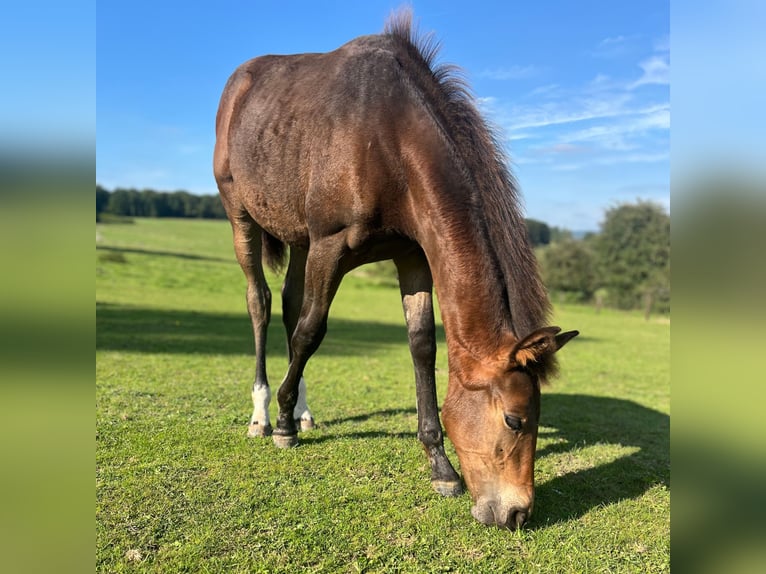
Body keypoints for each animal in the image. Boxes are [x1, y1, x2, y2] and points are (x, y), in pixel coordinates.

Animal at [213, 10, 580, 532]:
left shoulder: (413, 257)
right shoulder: (330, 246)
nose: (516, 514)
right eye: (514, 419)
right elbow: (311, 331)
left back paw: (301, 407)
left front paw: (440, 467)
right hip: (240, 215)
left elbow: (421, 346)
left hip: (299, 238)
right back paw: (265, 413)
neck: (388, 138)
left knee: (286, 303)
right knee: (261, 304)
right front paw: (282, 426)